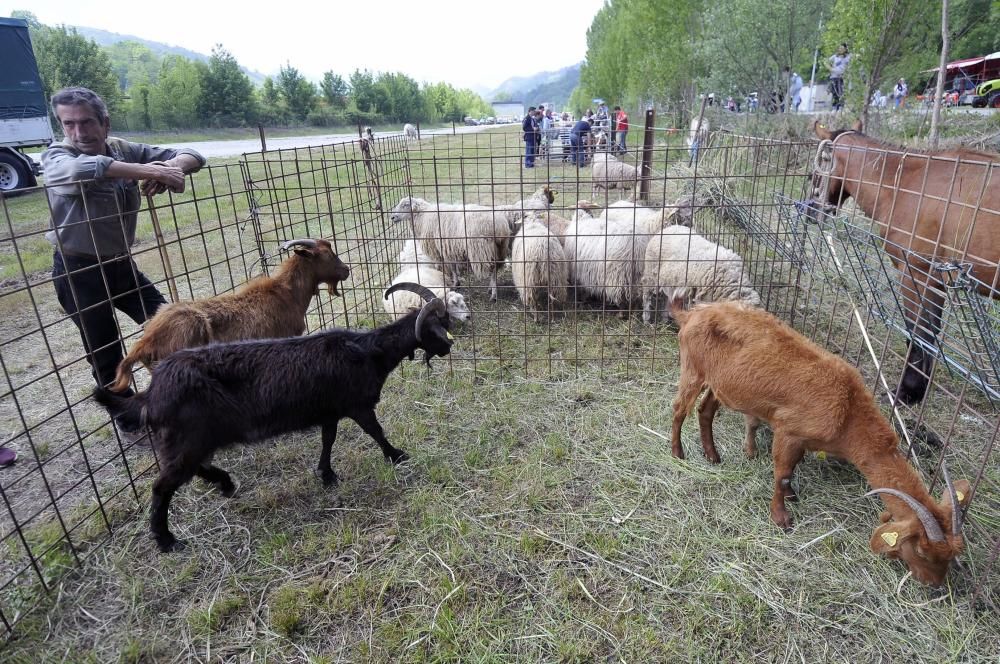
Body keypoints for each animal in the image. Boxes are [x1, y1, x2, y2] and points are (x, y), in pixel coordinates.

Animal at [94, 282, 454, 552]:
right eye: (437, 327)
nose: (449, 348)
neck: (367, 350)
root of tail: (151, 394)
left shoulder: (329, 410)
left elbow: (328, 439)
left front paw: (326, 474)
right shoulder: (357, 405)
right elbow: (375, 431)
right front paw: (397, 455)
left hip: (191, 439)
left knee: (190, 469)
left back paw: (225, 484)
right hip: (188, 438)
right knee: (162, 486)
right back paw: (166, 539)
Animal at [672, 300, 968, 588]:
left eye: (953, 553)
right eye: (921, 551)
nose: (934, 584)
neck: (848, 409)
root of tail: (691, 314)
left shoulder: (803, 439)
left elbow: (792, 469)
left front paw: (791, 495)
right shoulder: (787, 430)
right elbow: (782, 473)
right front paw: (781, 518)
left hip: (719, 382)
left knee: (705, 410)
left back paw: (712, 455)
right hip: (692, 368)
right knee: (679, 410)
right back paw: (678, 453)